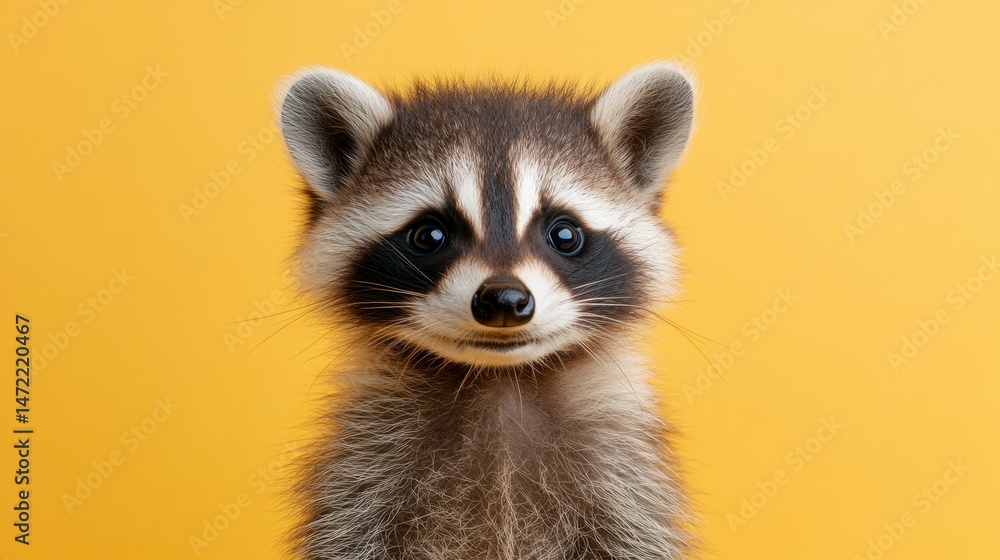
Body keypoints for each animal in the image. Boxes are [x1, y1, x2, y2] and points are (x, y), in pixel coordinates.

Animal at [278, 62, 697, 559]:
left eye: (565, 234)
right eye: (429, 236)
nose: (504, 301)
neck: (499, 380)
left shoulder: (624, 483)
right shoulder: (364, 476)